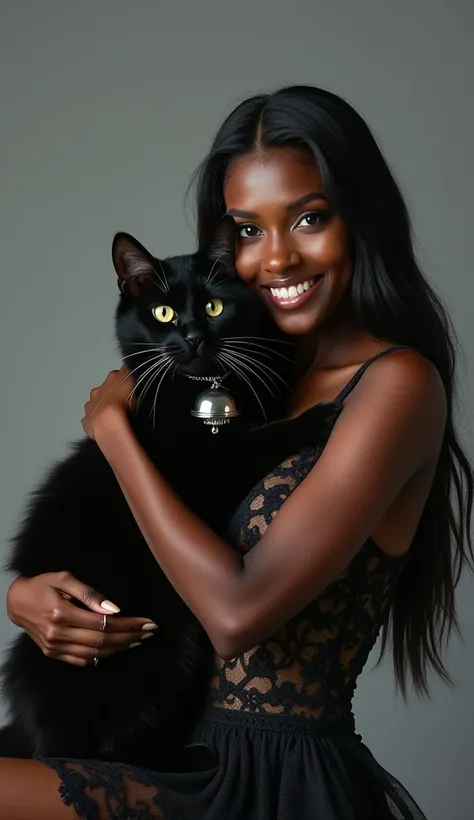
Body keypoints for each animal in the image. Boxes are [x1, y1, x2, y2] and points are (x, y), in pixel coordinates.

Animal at [0, 216, 312, 768]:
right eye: (163, 312)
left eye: (213, 307)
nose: (191, 336)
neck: (199, 390)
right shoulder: (204, 472)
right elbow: (262, 439)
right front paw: (328, 415)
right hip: (171, 638)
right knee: (108, 752)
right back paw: (191, 758)